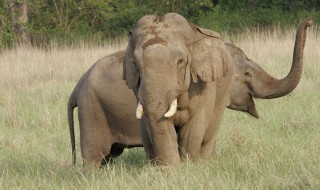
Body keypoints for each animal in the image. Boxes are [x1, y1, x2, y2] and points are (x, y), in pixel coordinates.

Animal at [69, 15, 312, 166]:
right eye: (247, 75)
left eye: (180, 62)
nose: (309, 21)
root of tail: (78, 85)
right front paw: (174, 170)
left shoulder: (208, 88)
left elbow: (198, 130)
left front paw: (194, 166)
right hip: (92, 110)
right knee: (94, 156)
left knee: (108, 156)